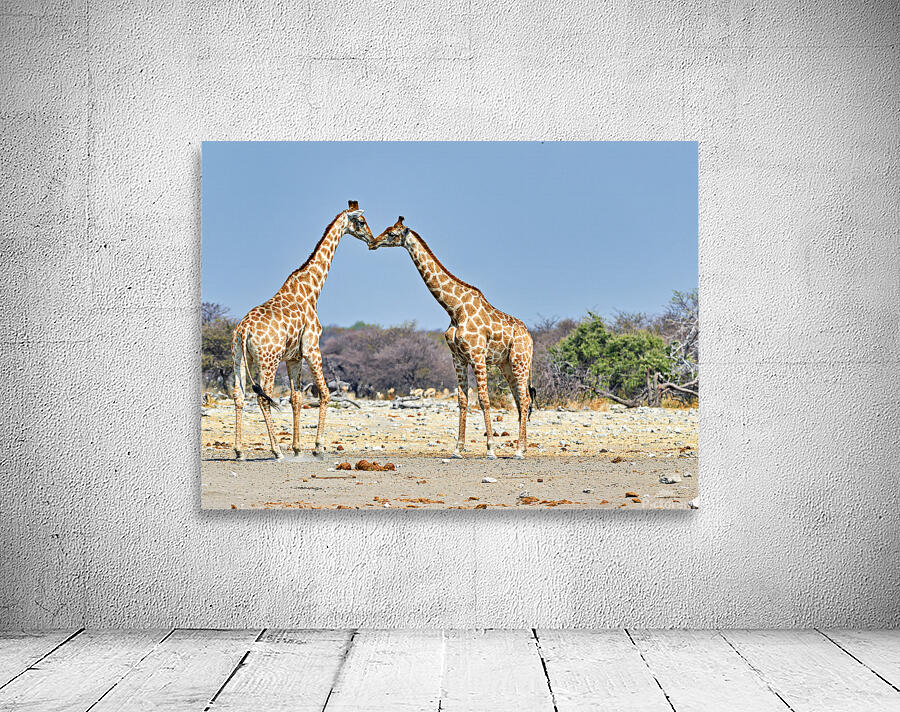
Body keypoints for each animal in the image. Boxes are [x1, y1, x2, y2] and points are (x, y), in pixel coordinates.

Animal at [231, 201, 373, 460]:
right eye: (361, 221)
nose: (371, 238)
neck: (312, 289)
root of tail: (243, 330)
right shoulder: (312, 348)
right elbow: (325, 393)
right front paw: (318, 447)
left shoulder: (294, 357)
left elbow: (296, 398)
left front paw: (298, 448)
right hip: (268, 361)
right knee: (262, 397)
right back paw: (276, 450)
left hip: (239, 358)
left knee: (238, 395)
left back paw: (239, 451)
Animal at [370, 217, 535, 459]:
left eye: (392, 234)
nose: (373, 242)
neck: (454, 309)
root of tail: (530, 337)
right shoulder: (458, 358)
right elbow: (462, 400)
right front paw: (458, 449)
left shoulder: (477, 356)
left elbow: (484, 399)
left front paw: (490, 449)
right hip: (505, 364)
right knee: (519, 399)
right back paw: (520, 447)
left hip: (519, 361)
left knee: (524, 399)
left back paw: (520, 451)